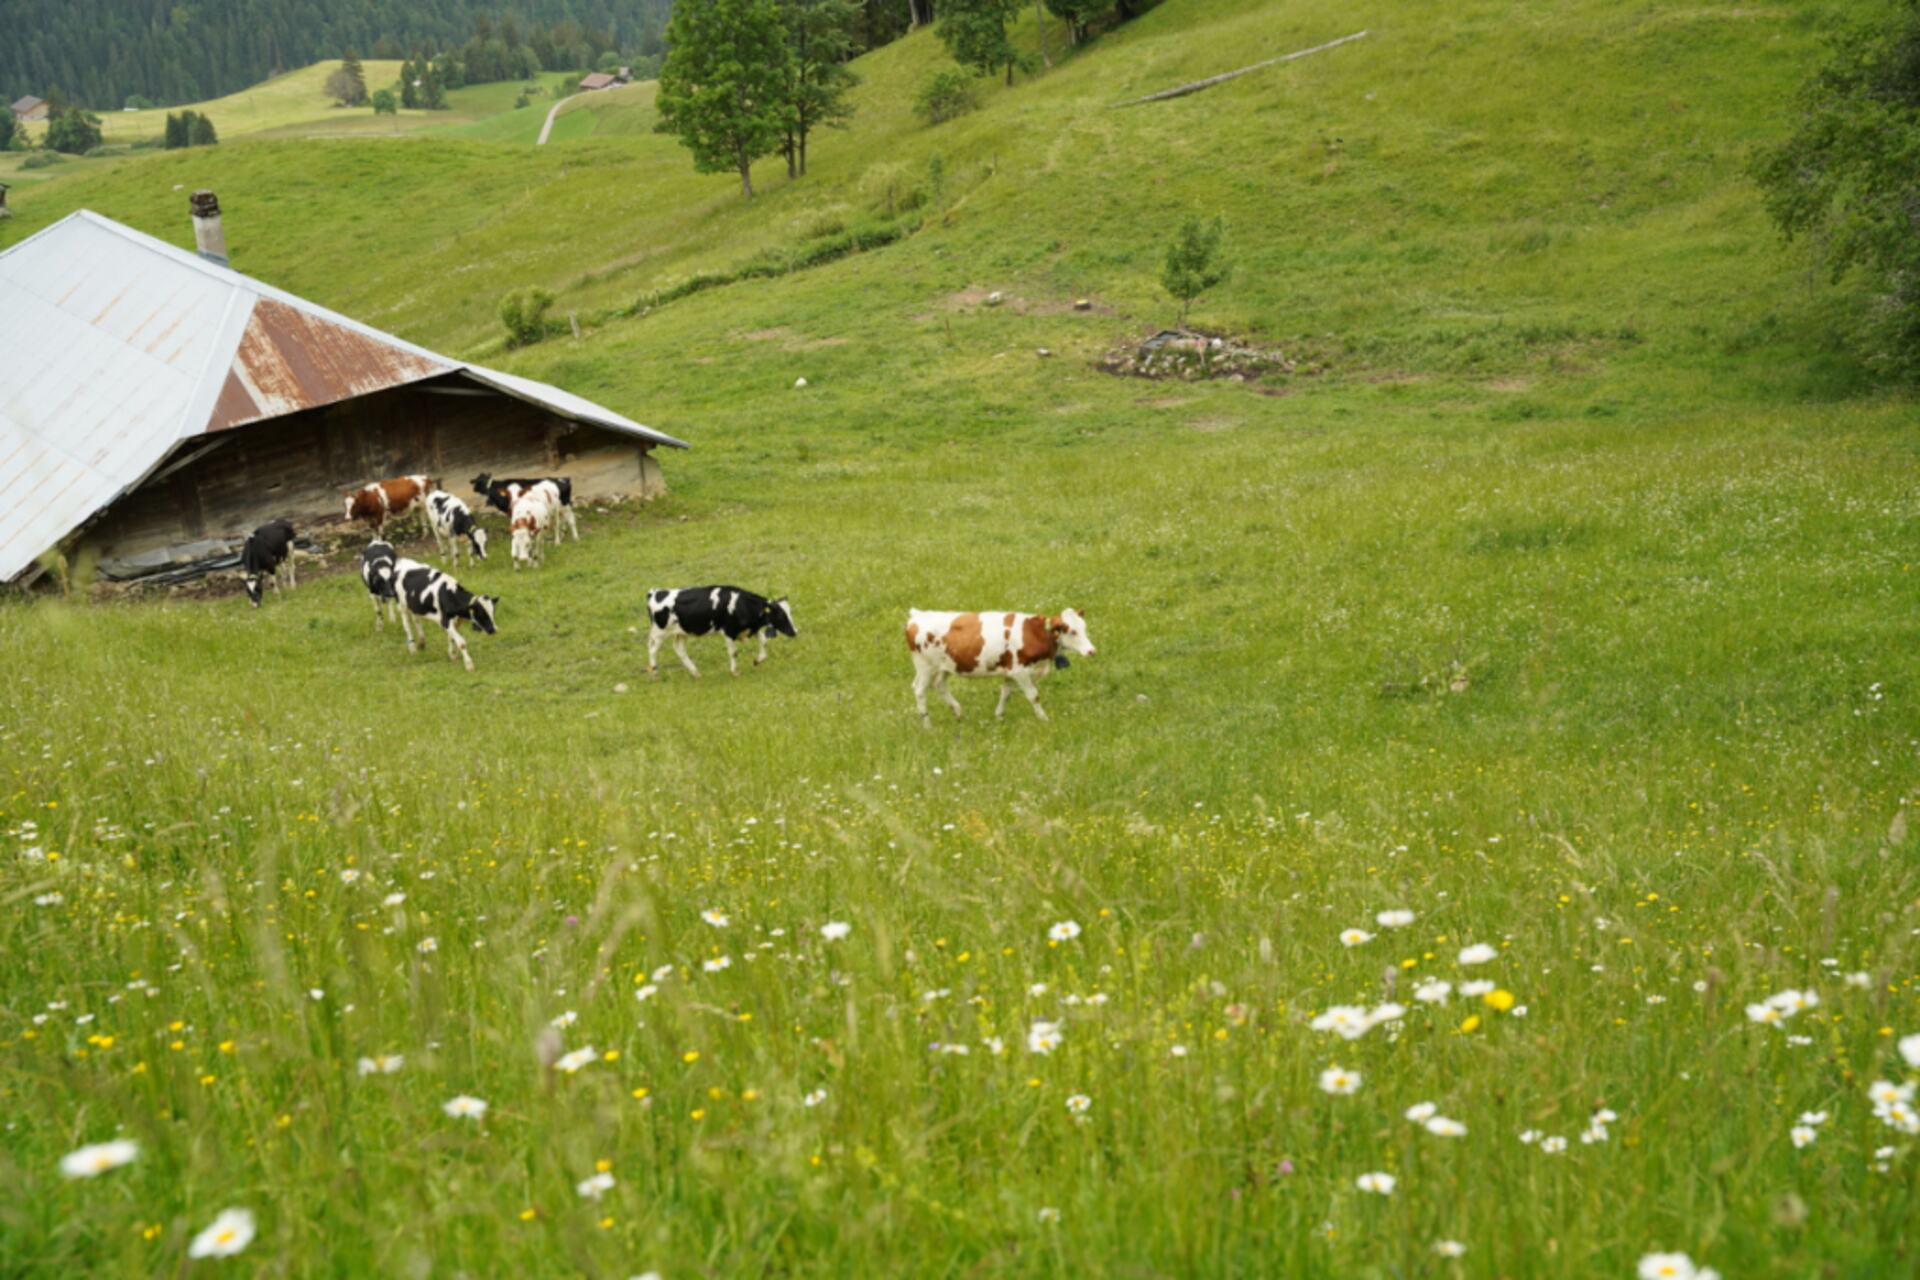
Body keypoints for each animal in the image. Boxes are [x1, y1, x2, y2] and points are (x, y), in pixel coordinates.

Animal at [645, 586, 797, 679]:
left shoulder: (750, 629)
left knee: (679, 649)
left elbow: (764, 642)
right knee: (652, 649)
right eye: (780, 615)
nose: (795, 632)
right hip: (659, 632)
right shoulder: (729, 631)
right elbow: (734, 653)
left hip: (682, 632)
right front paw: (735, 672)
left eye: (790, 612)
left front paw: (757, 660)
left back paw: (695, 673)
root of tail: (655, 592)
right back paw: (655, 673)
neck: (741, 604)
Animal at [904, 609, 1096, 726]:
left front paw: (999, 717)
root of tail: (918, 615)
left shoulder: (1010, 672)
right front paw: (1044, 719)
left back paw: (958, 713)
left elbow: (1006, 694)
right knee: (920, 691)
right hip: (926, 667)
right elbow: (1033, 696)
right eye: (1072, 631)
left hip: (944, 667)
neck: (1034, 633)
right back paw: (927, 725)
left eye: (1084, 628)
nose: (1092, 651)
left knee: (939, 686)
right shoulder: (1020, 671)